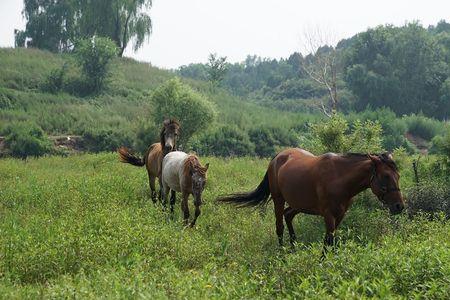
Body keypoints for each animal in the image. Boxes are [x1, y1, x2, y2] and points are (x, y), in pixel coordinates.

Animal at [218, 148, 404, 251]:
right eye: (386, 176)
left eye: (398, 176)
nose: (399, 206)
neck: (339, 177)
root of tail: (277, 157)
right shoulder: (328, 215)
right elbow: (328, 240)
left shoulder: (340, 215)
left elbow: (332, 240)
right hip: (279, 200)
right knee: (279, 226)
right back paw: (282, 254)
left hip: (299, 204)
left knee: (288, 215)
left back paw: (294, 248)